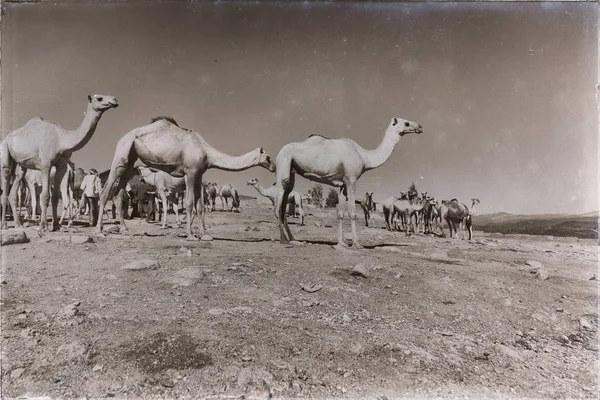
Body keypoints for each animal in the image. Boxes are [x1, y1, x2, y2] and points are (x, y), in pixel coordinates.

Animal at [0, 94, 118, 231]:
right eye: (99, 98)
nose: (114, 100)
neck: (61, 139)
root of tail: (7, 138)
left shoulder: (61, 166)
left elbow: (55, 197)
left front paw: (56, 225)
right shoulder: (46, 164)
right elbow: (45, 196)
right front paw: (43, 225)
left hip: (21, 165)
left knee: (14, 189)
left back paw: (18, 224)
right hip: (6, 150)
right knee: (6, 182)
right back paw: (4, 225)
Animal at [97, 117, 276, 239]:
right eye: (267, 157)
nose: (274, 167)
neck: (207, 153)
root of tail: (122, 138)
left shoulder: (199, 175)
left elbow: (200, 205)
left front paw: (204, 234)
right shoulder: (190, 172)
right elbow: (190, 203)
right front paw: (190, 234)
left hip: (130, 159)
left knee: (119, 194)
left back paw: (125, 229)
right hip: (122, 151)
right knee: (106, 191)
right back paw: (99, 229)